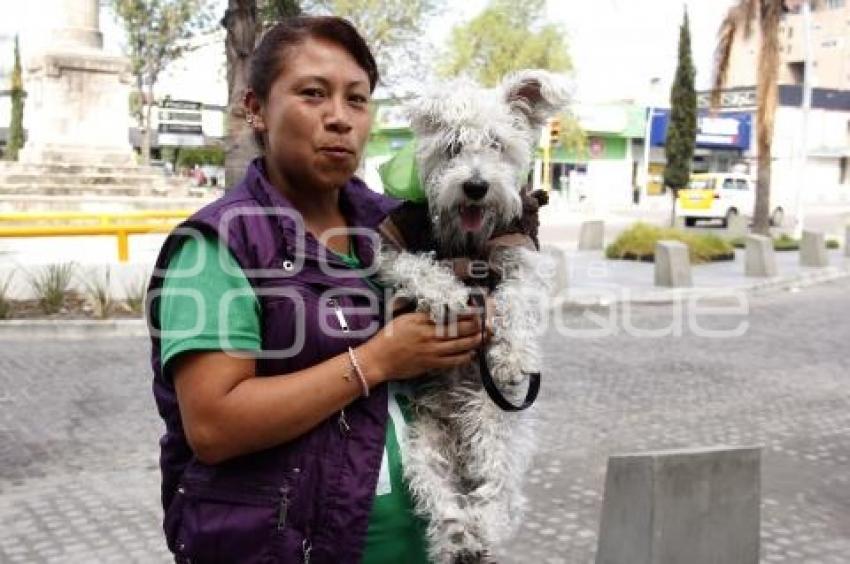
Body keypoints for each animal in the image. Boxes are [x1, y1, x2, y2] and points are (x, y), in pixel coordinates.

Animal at [376, 68, 568, 560]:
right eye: (454, 145)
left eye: (497, 144)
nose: (476, 186)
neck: (468, 245)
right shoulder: (392, 247)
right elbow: (417, 265)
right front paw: (447, 296)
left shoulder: (520, 255)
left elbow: (517, 299)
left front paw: (512, 356)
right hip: (421, 442)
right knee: (436, 490)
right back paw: (454, 533)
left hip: (495, 418)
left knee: (500, 488)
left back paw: (483, 525)